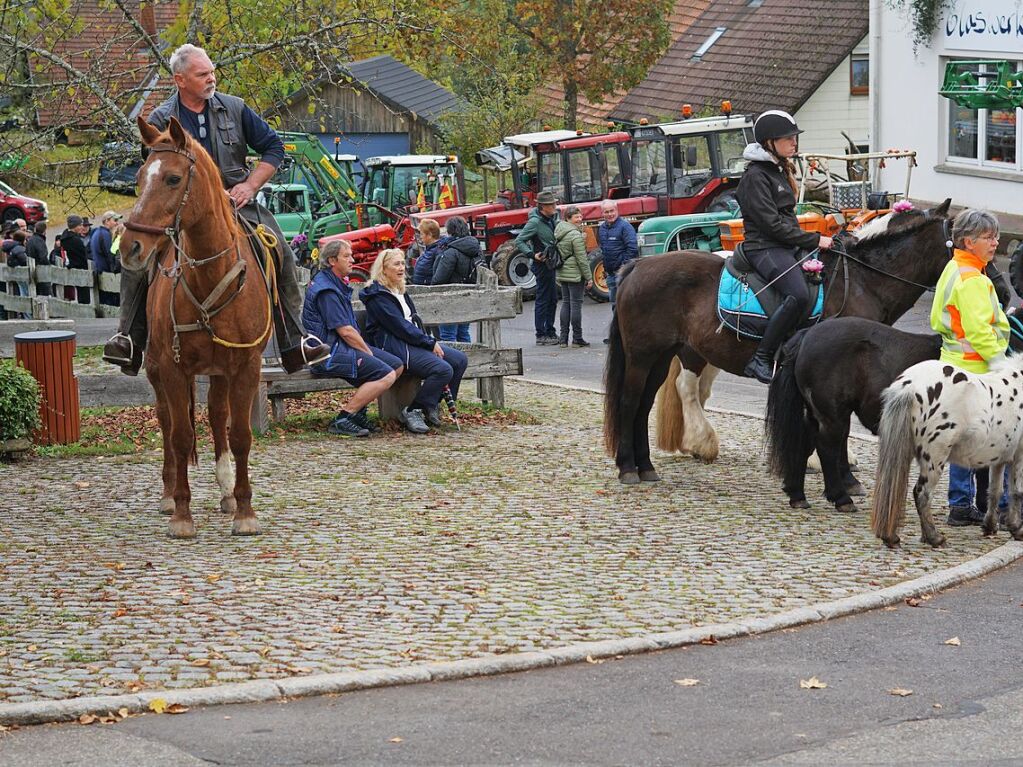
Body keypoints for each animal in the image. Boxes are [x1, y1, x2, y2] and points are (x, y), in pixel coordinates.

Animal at [122, 118, 274, 539]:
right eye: (139, 178)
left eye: (173, 178)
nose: (130, 247)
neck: (209, 275)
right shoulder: (173, 368)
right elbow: (180, 436)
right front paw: (182, 514)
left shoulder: (246, 366)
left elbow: (240, 436)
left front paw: (244, 510)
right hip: (158, 369)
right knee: (166, 421)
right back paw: (168, 494)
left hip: (220, 371)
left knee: (218, 417)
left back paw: (225, 493)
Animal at [601, 201, 953, 482]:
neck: (862, 281)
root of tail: (637, 266)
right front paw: (825, 461)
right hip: (646, 355)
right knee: (646, 398)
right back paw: (646, 462)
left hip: (670, 353)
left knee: (666, 397)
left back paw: (666, 456)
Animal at [867, 357, 1023, 548]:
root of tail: (910, 385)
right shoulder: (1018, 456)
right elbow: (1016, 492)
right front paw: (1017, 529)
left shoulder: (1000, 459)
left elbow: (995, 491)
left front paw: (990, 526)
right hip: (934, 458)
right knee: (922, 494)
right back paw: (934, 538)